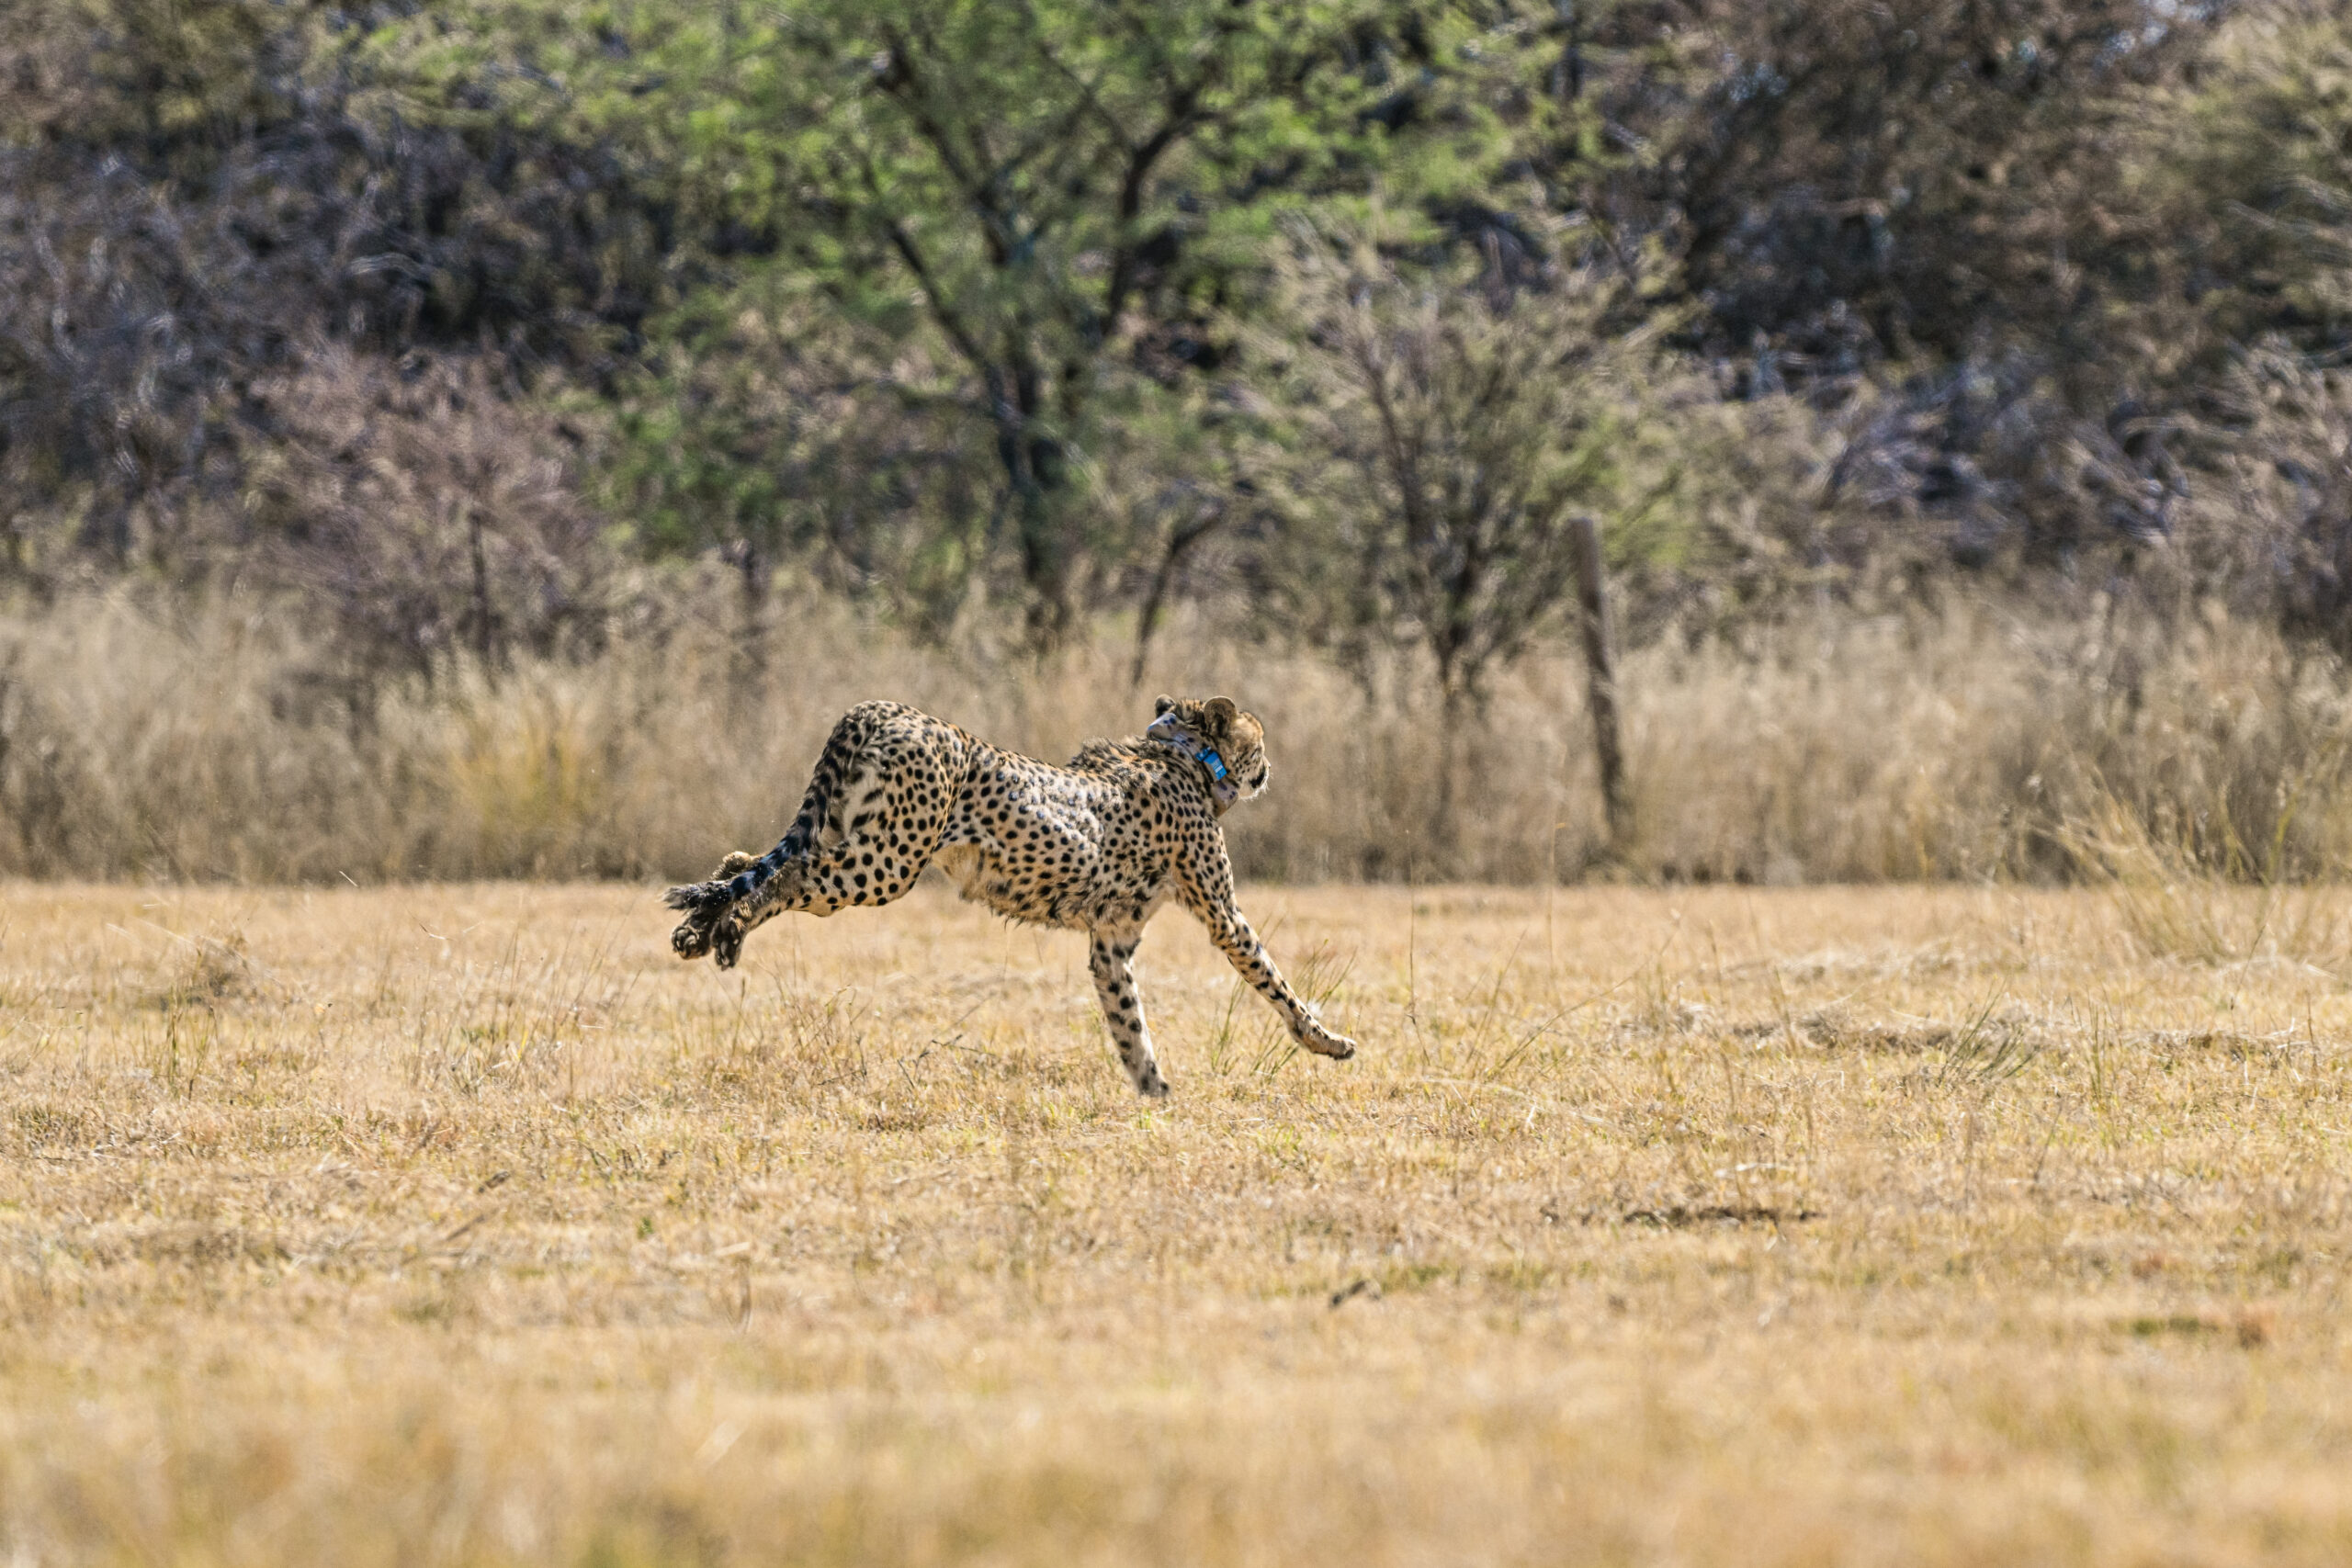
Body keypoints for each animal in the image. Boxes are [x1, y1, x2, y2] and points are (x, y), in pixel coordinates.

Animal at [662, 694, 1358, 1097]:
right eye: (1257, 739)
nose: (1269, 767)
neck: (1181, 751)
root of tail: (883, 707)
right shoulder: (1223, 915)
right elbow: (1275, 980)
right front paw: (1328, 1041)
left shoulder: (1110, 942)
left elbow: (1128, 1021)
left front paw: (1154, 1092)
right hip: (887, 861)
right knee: (789, 874)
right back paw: (725, 929)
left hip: (847, 832)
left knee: (749, 861)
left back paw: (701, 931)